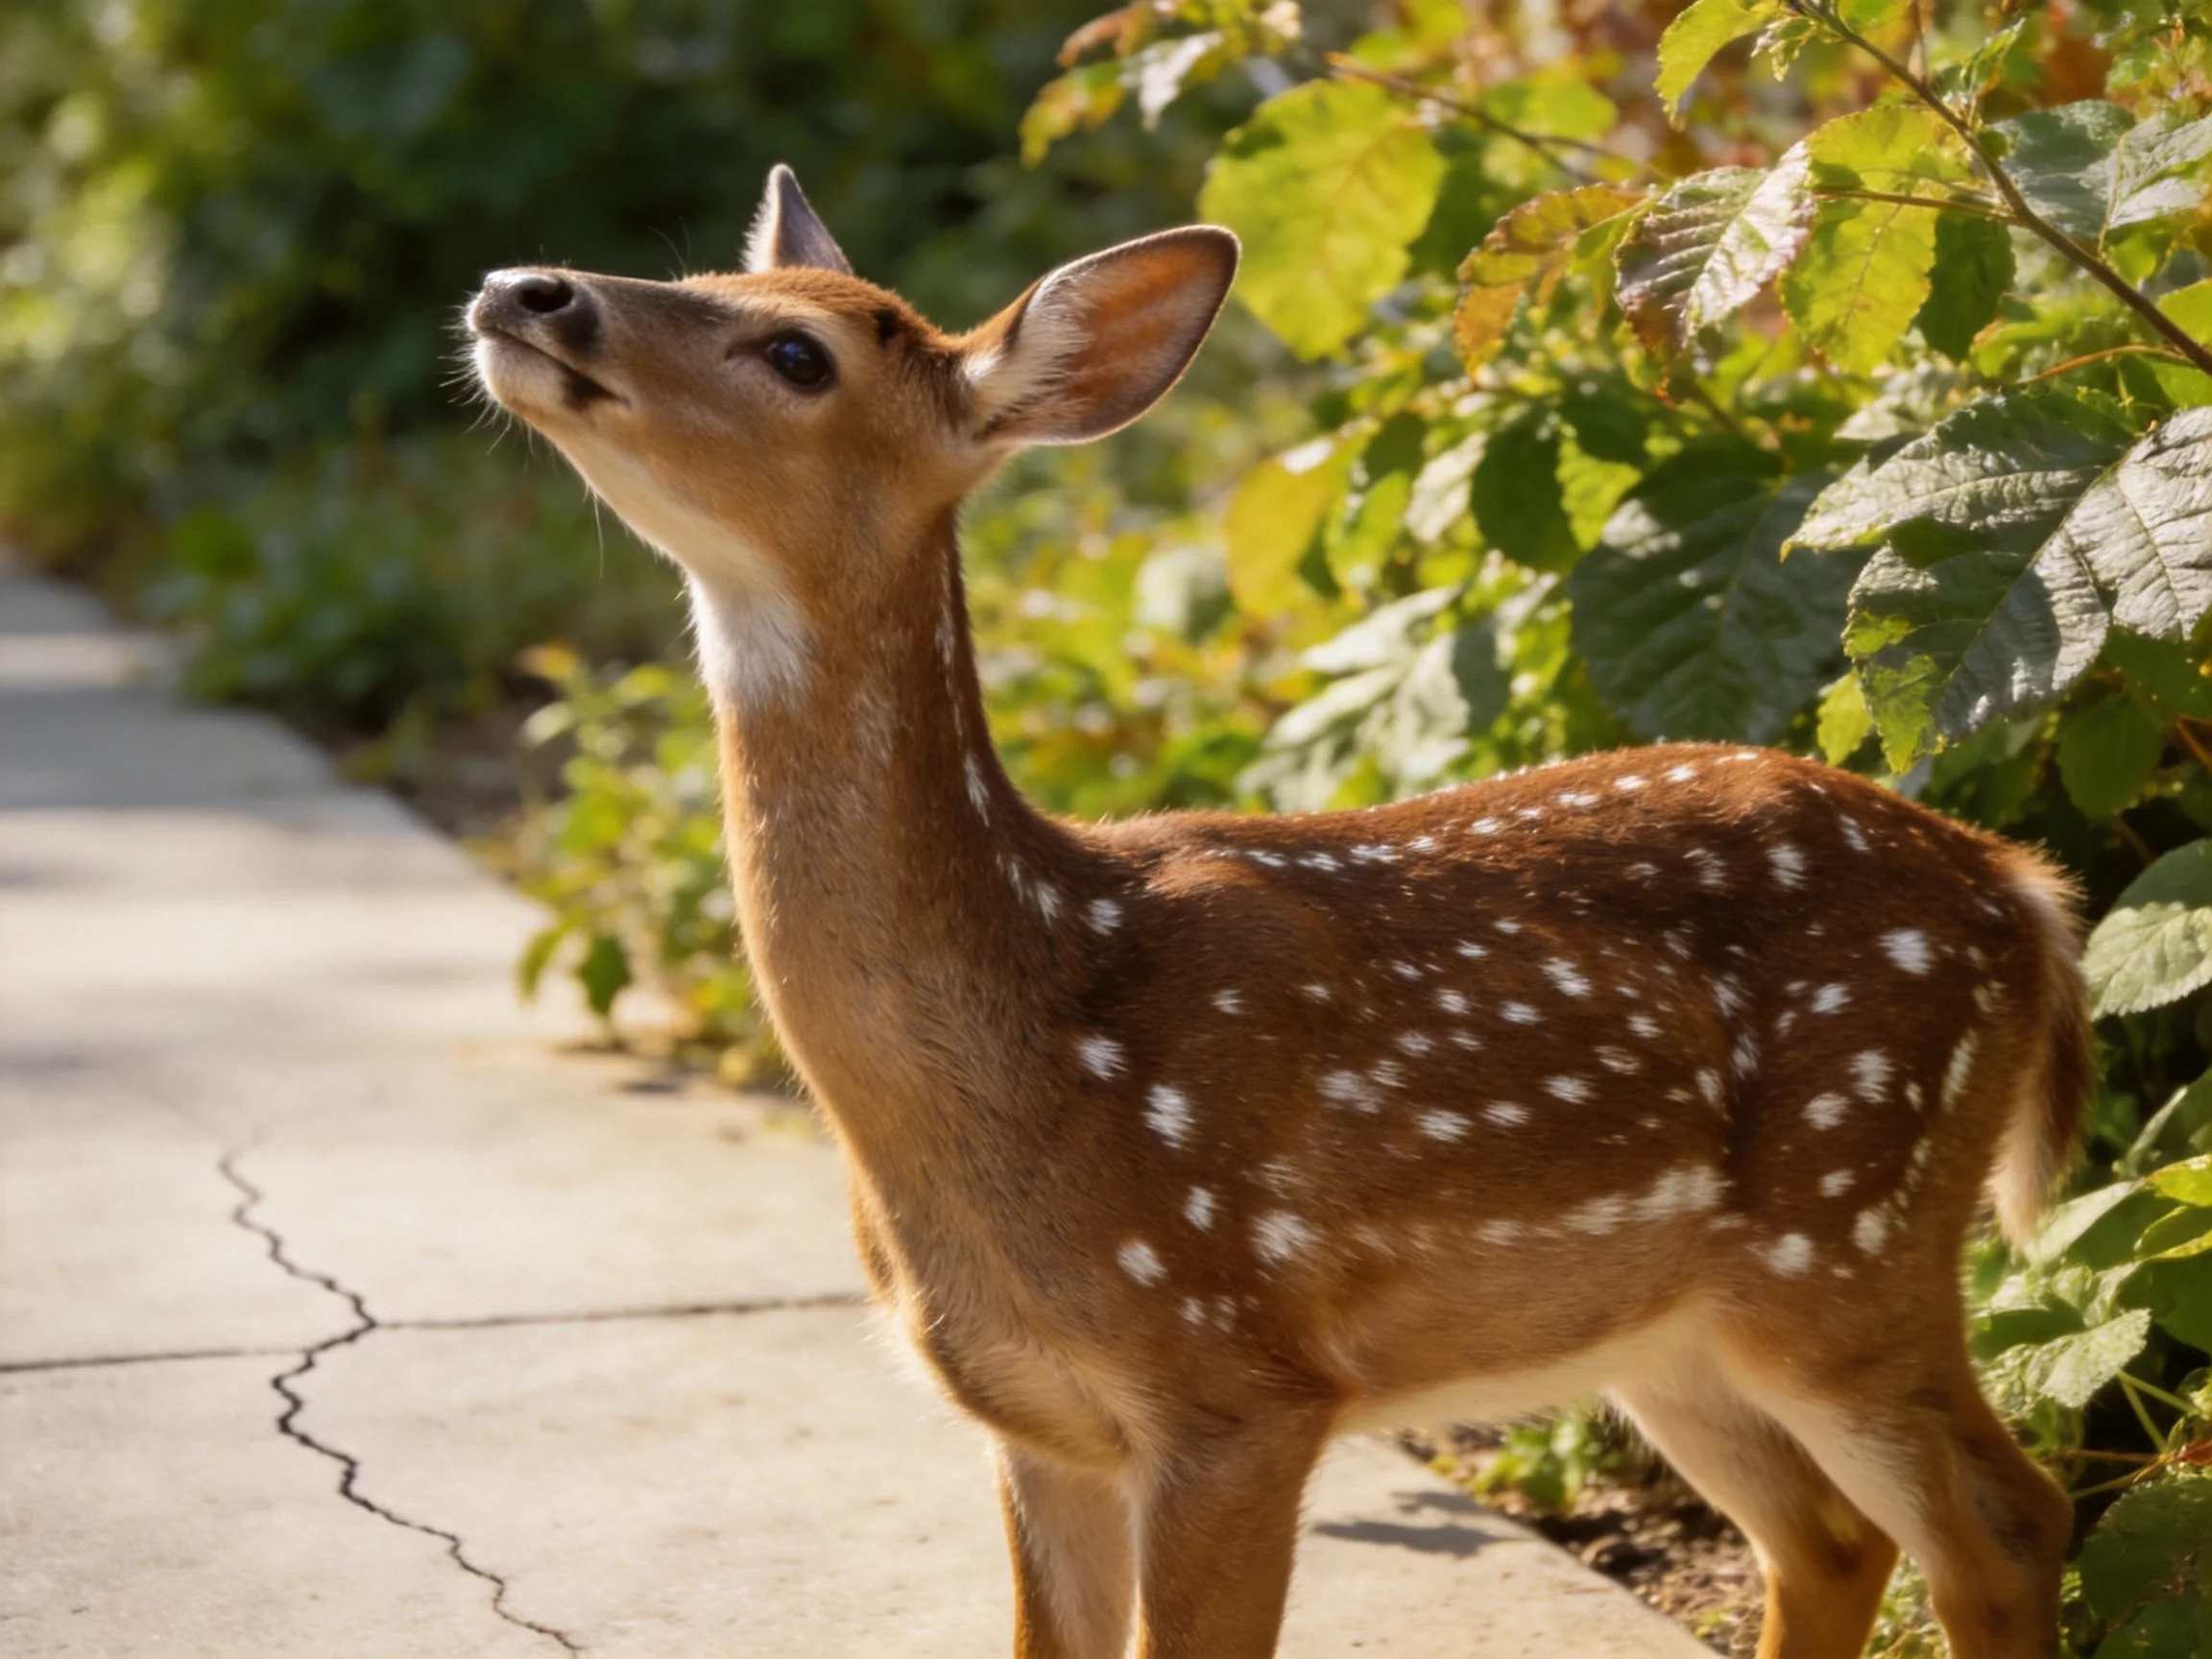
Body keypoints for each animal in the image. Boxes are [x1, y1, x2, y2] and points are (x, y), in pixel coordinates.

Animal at [466, 165, 2090, 1659]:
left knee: (2009, 1523)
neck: (1035, 1034)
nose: (528, 290)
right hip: (1674, 1325)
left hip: (1853, 1231)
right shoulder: (1036, 1423)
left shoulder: (1239, 1387)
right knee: (1828, 1541)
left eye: (801, 356)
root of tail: (2021, 889)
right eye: (700, 279)